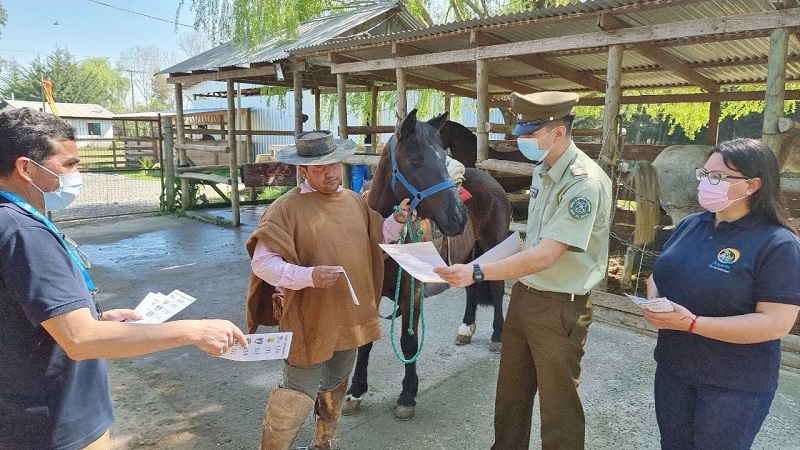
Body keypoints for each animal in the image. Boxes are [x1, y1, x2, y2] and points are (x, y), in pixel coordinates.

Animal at [340, 109, 510, 422]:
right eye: (416, 161)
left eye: (443, 158)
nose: (458, 217)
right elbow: (365, 342)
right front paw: (355, 392)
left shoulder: (412, 295)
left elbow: (408, 341)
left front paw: (407, 395)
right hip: (467, 254)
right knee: (470, 289)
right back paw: (465, 329)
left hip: (494, 244)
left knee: (497, 287)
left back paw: (496, 334)